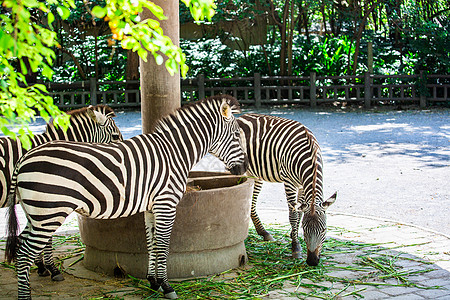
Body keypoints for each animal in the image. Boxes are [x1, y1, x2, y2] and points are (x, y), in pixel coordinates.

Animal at [237, 113, 336, 266]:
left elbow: (300, 213)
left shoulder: (302, 186)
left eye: (324, 230)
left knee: (251, 204)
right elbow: (293, 215)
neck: (310, 156)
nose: (312, 261)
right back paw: (263, 232)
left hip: (256, 173)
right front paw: (296, 247)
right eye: (305, 230)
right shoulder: (289, 183)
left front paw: (293, 234)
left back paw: (263, 232)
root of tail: (243, 116)